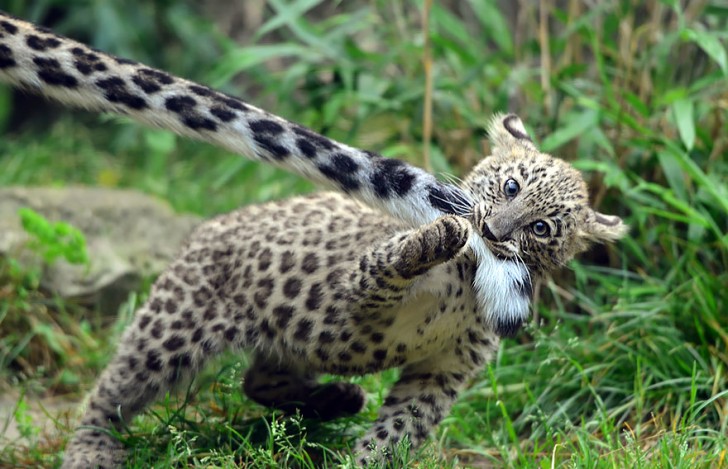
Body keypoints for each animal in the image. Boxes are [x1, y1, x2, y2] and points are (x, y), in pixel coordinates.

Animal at [0, 10, 626, 468]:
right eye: (510, 185)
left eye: (541, 228)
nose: (494, 231)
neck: (469, 289)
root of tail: (206, 227)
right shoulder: (358, 290)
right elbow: (393, 259)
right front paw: (440, 235)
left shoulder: (442, 370)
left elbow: (400, 428)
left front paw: (365, 460)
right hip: (174, 327)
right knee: (116, 387)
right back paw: (93, 447)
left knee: (259, 378)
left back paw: (335, 399)